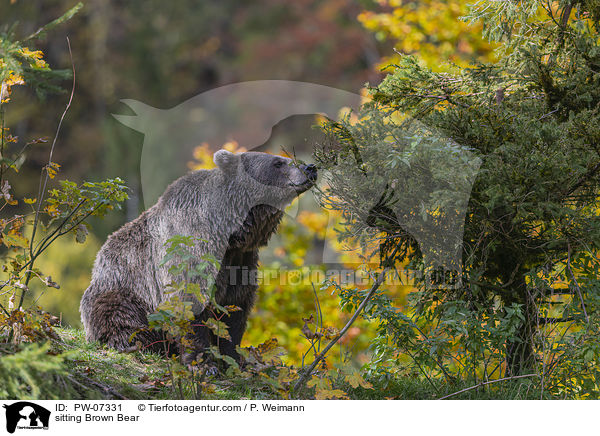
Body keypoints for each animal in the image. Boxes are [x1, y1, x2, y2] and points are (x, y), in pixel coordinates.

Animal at [79, 150, 318, 362]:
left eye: (286, 159)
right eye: (278, 163)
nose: (310, 167)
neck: (230, 232)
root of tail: (99, 260)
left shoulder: (241, 260)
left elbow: (234, 309)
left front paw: (233, 357)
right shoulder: (191, 248)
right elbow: (190, 299)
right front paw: (202, 361)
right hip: (125, 289)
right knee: (120, 316)